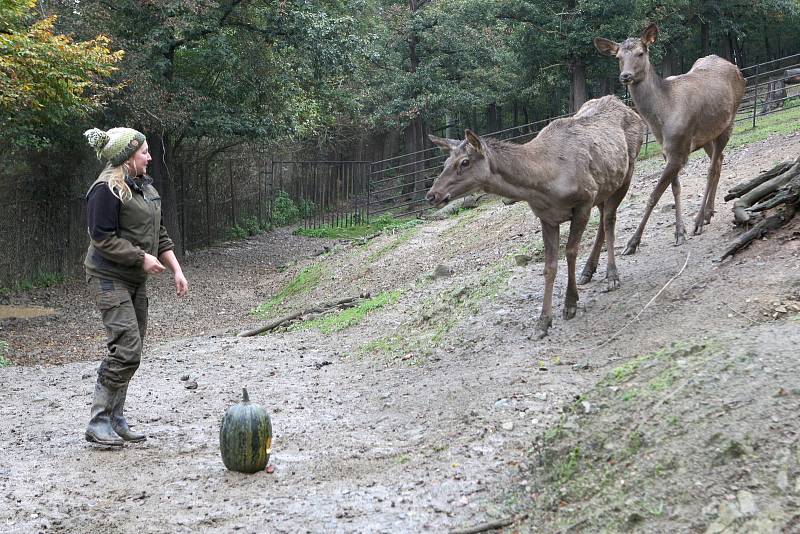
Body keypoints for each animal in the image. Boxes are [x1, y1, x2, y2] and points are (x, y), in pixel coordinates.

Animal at [424, 96, 644, 340]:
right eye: (444, 164)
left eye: (464, 162)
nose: (432, 195)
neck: (544, 184)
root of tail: (629, 108)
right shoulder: (546, 216)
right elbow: (549, 266)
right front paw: (543, 322)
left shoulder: (584, 200)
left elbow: (570, 252)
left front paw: (570, 304)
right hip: (604, 187)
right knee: (605, 218)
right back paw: (588, 271)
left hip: (626, 172)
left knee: (609, 220)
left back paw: (612, 275)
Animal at [592, 22, 752, 253]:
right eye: (618, 57)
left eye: (641, 53)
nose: (625, 76)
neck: (661, 118)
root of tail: (738, 70)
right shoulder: (667, 151)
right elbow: (675, 189)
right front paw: (679, 231)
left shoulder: (680, 150)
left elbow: (654, 195)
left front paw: (633, 242)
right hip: (707, 135)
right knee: (719, 160)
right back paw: (708, 213)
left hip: (729, 121)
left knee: (712, 168)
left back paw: (699, 219)